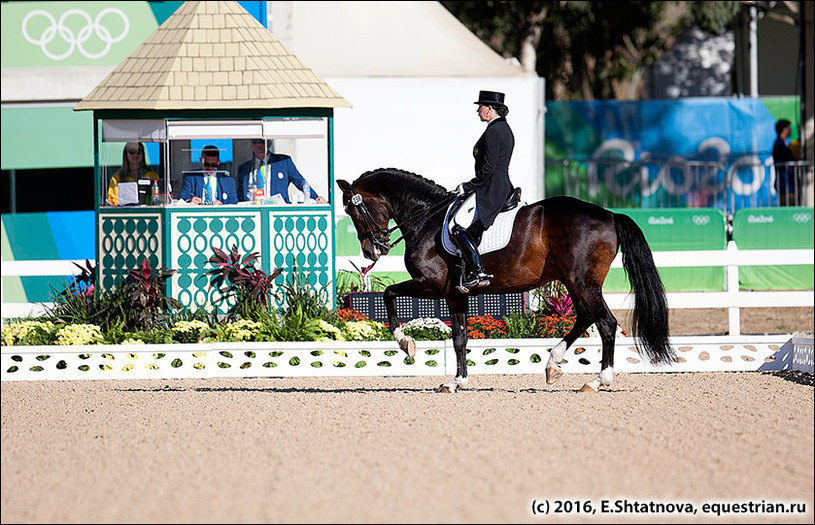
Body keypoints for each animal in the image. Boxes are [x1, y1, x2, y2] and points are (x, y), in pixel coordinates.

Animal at [334, 166, 672, 390]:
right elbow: (459, 337)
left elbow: (389, 293)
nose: (372, 250)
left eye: (354, 211)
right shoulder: (455, 294)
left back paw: (598, 379)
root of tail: (609, 214)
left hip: (583, 282)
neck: (427, 218)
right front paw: (457, 381)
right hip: (573, 281)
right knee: (586, 318)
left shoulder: (430, 285)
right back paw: (553, 364)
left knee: (606, 323)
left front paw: (406, 344)